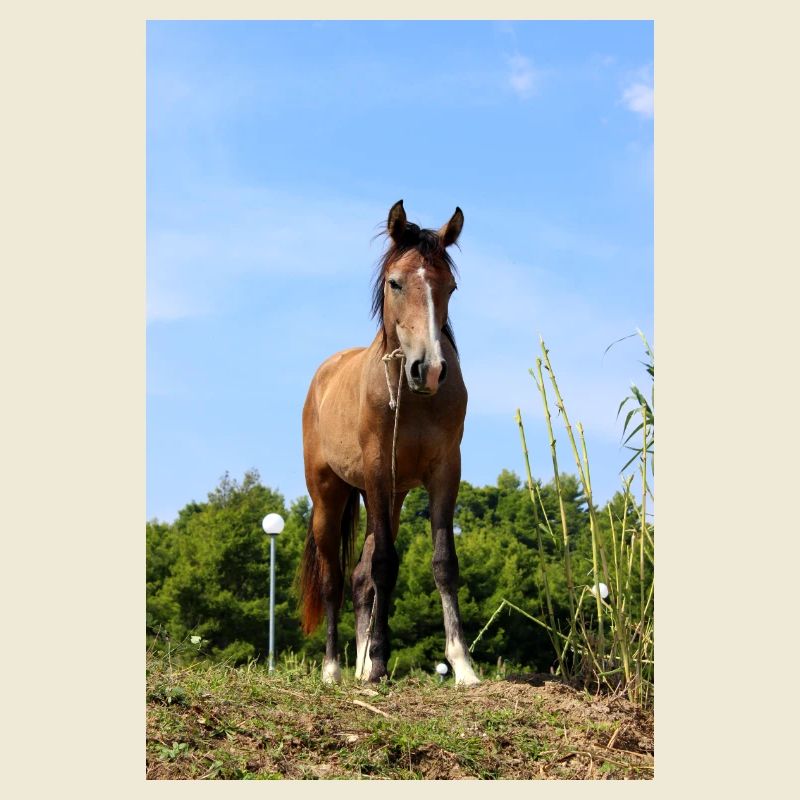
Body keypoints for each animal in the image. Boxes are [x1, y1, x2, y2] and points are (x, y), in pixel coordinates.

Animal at [298, 199, 480, 686]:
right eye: (396, 282)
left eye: (450, 286)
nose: (429, 369)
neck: (412, 399)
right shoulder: (379, 472)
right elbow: (384, 565)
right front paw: (379, 662)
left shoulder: (444, 473)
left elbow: (443, 563)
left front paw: (462, 664)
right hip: (330, 497)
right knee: (335, 579)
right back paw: (333, 668)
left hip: (390, 498)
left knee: (359, 578)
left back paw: (359, 664)